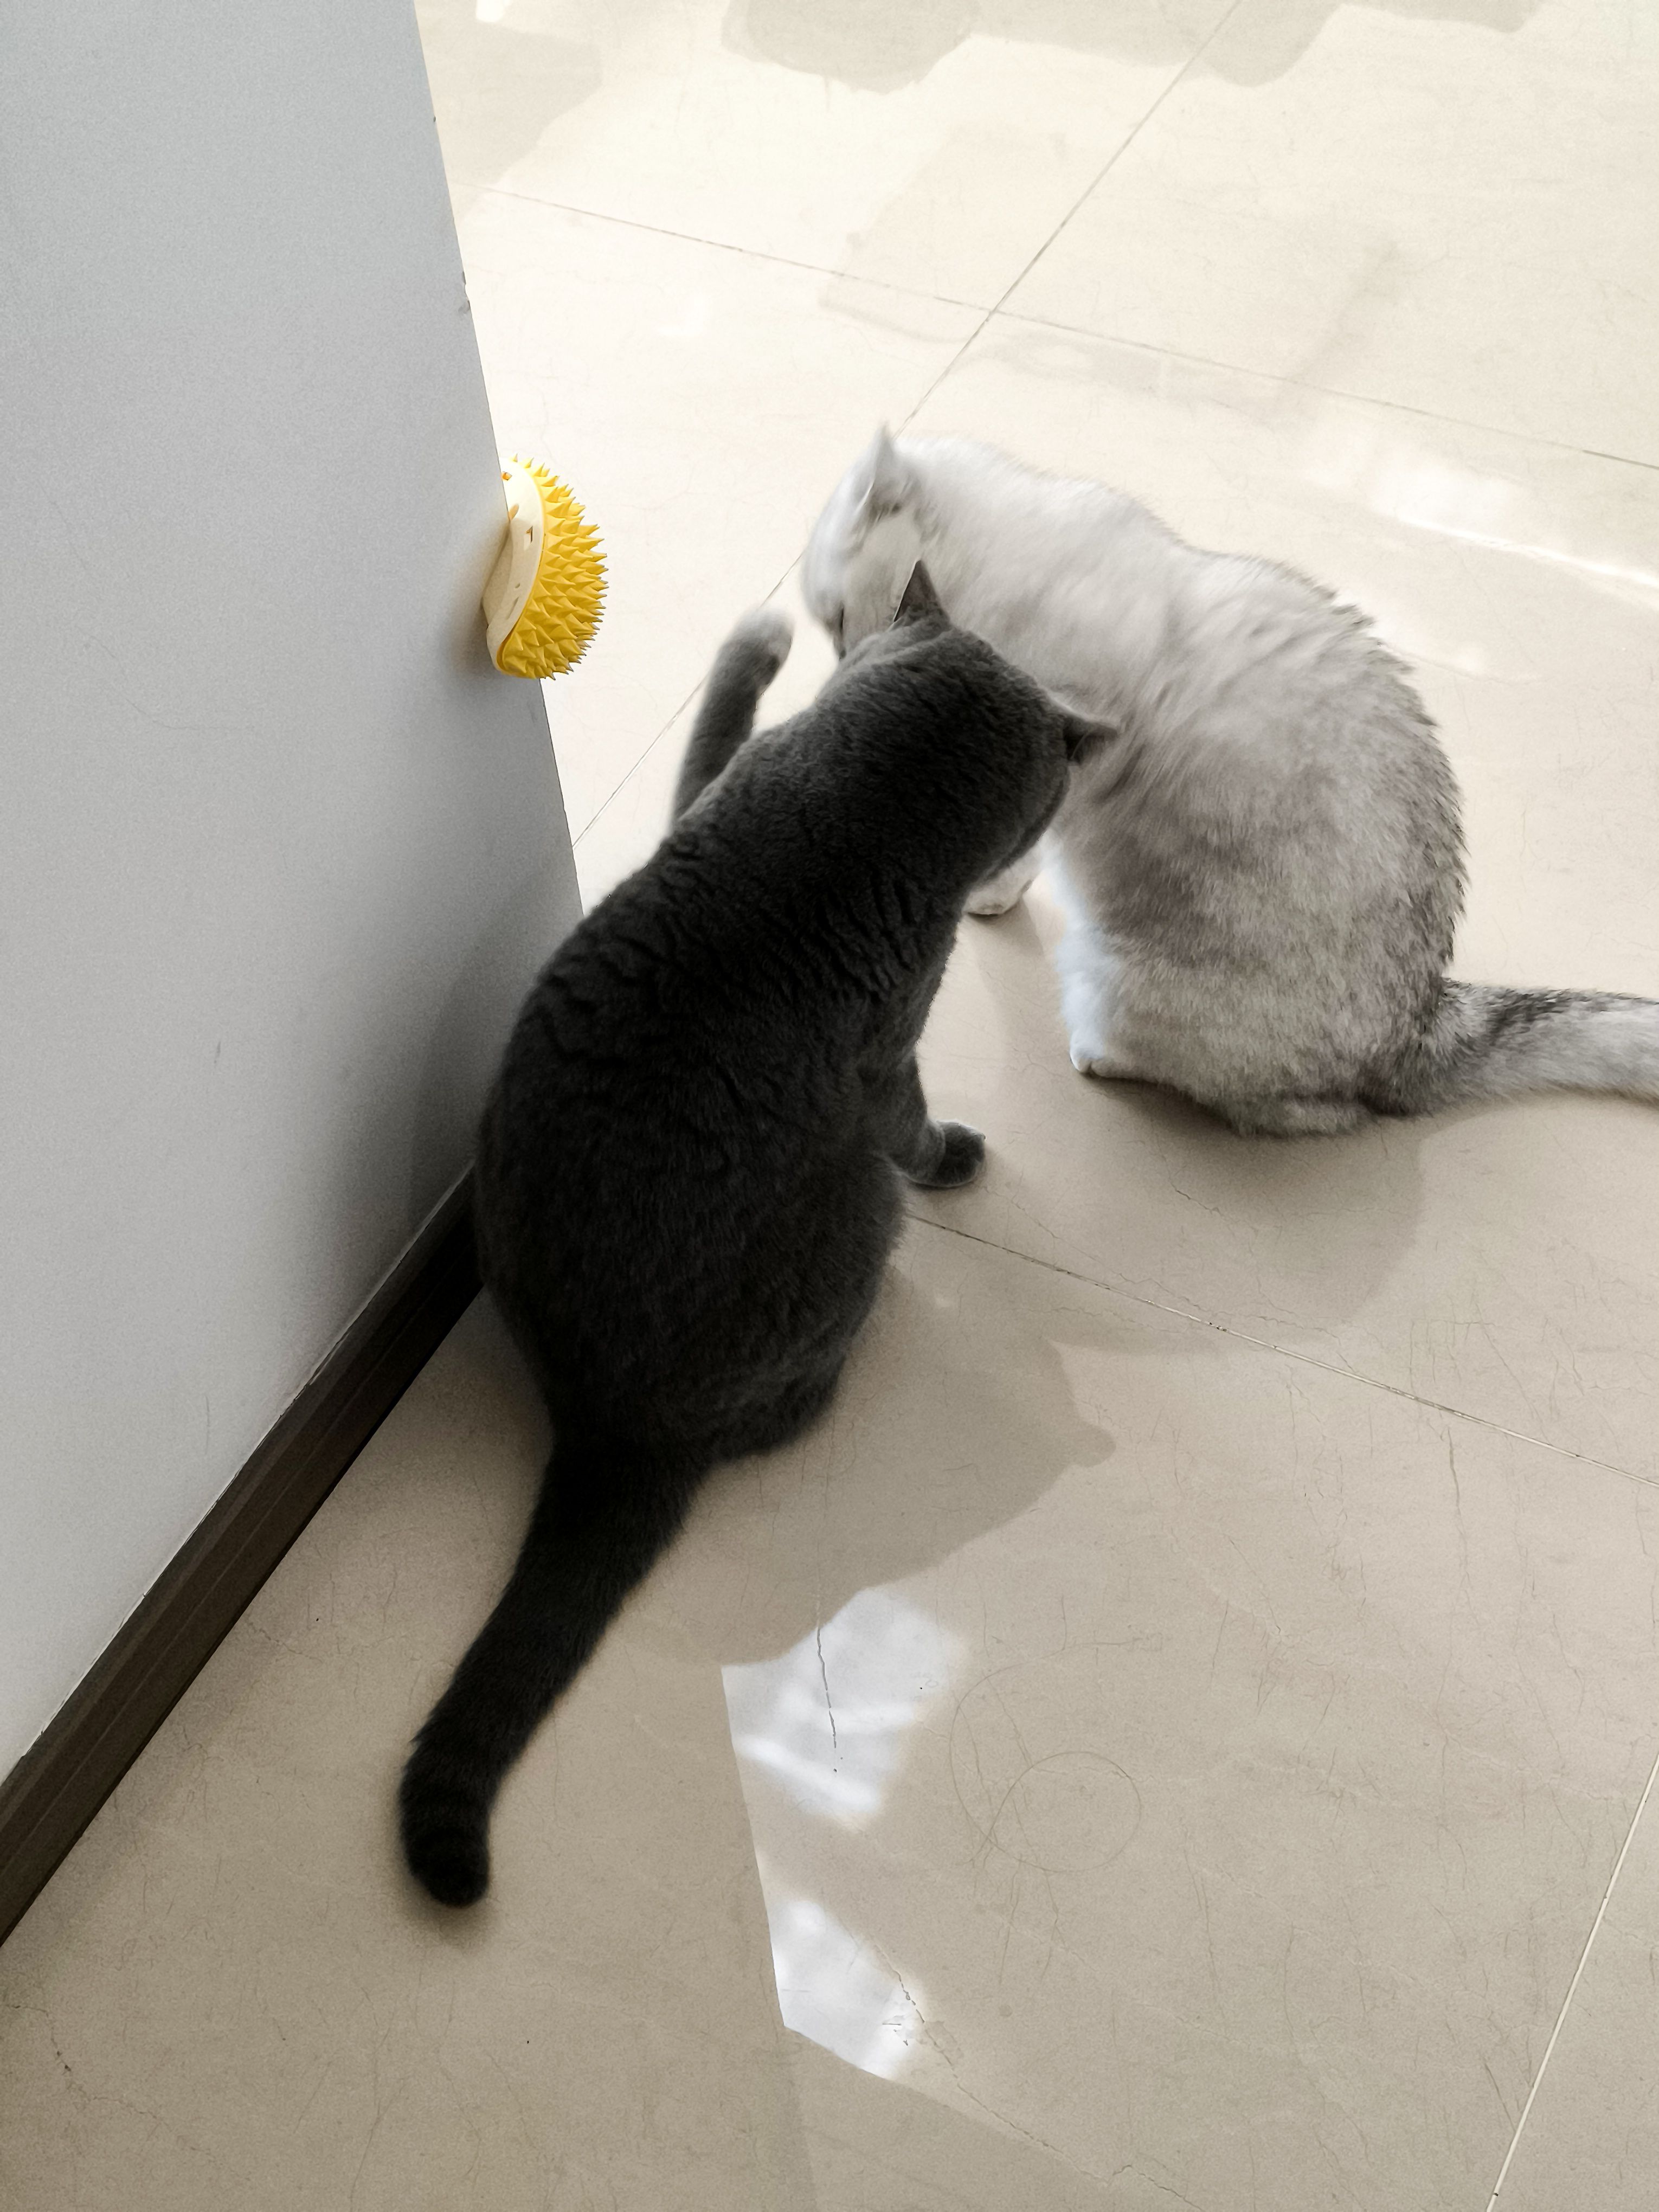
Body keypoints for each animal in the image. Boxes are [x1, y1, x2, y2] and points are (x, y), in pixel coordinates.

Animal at [398, 565, 1103, 1905]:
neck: (851, 811)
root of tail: (607, 1431)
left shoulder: (703, 791)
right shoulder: (892, 1046)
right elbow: (916, 1122)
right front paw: (964, 1155)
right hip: (857, 1213)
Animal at [804, 430, 1659, 1136]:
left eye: (838, 619)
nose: (848, 663)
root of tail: (1416, 1024)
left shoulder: (1064, 756)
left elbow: (1022, 845)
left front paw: (987, 886)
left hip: (1110, 975)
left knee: (1304, 1113)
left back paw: (1100, 1055)